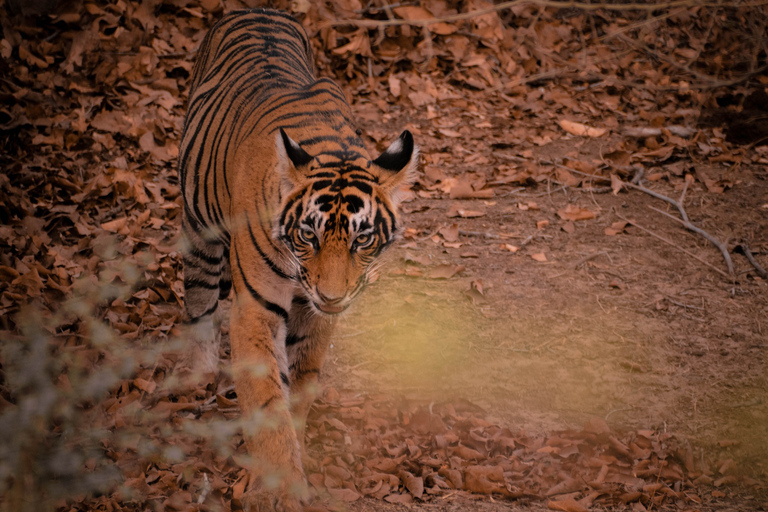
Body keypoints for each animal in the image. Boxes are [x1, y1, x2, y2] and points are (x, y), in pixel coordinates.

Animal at [177, 8, 416, 512]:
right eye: (309, 235)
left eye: (362, 239)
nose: (333, 295)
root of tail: (258, 9)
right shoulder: (256, 308)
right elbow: (268, 399)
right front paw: (279, 487)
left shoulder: (316, 314)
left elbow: (301, 384)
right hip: (198, 226)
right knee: (200, 301)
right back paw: (198, 373)